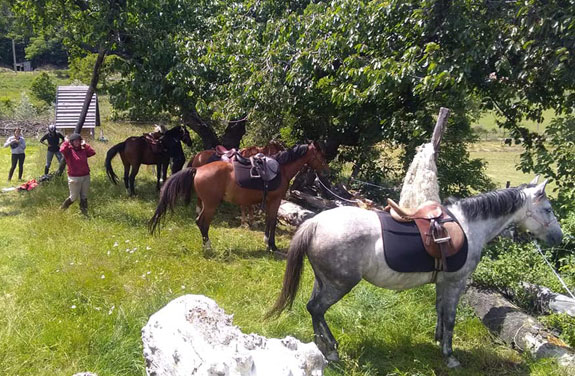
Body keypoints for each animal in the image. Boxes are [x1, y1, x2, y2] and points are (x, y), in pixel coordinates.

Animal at [148, 142, 328, 254]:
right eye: (321, 156)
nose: (325, 172)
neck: (281, 169)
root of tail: (197, 169)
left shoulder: (271, 202)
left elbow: (269, 221)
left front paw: (267, 242)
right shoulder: (275, 201)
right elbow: (271, 221)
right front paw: (272, 245)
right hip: (211, 205)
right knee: (202, 222)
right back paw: (208, 247)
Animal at [268, 178, 564, 368]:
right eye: (548, 209)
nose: (559, 238)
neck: (469, 226)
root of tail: (315, 222)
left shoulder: (443, 283)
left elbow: (440, 311)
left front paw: (438, 341)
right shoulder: (456, 283)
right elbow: (451, 318)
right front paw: (450, 356)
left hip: (324, 281)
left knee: (313, 309)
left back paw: (321, 346)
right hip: (339, 284)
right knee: (316, 308)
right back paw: (331, 351)